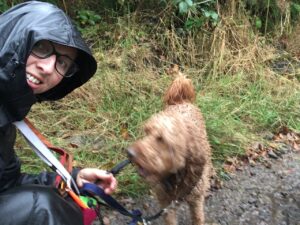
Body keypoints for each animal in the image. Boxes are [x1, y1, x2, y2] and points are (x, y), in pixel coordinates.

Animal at [127, 75, 212, 225]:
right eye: (147, 132)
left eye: (162, 139)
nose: (129, 153)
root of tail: (181, 100)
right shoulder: (166, 204)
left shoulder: (196, 200)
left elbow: (198, 217)